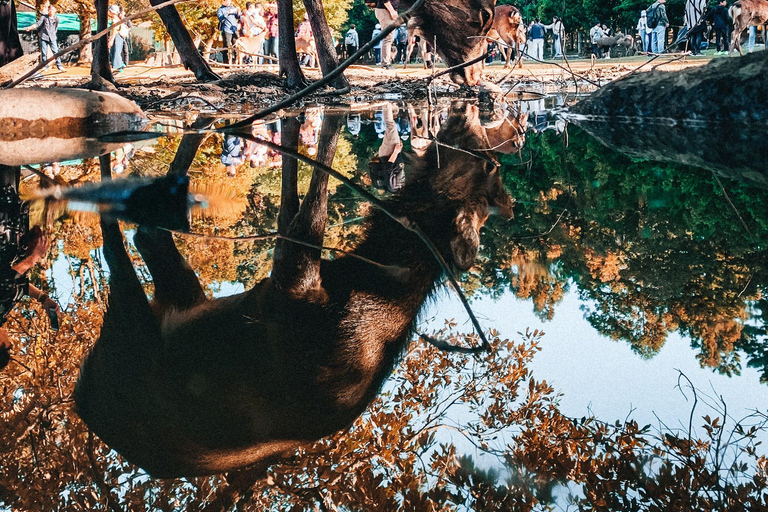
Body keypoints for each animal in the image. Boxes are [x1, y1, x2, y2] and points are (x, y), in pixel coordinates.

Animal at [75, 104, 516, 480]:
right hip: (179, 301)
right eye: (491, 165)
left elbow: (312, 202)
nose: (468, 110)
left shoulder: (292, 279)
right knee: (148, 232)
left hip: (132, 338)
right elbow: (295, 197)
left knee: (122, 243)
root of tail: (81, 400)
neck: (371, 274)